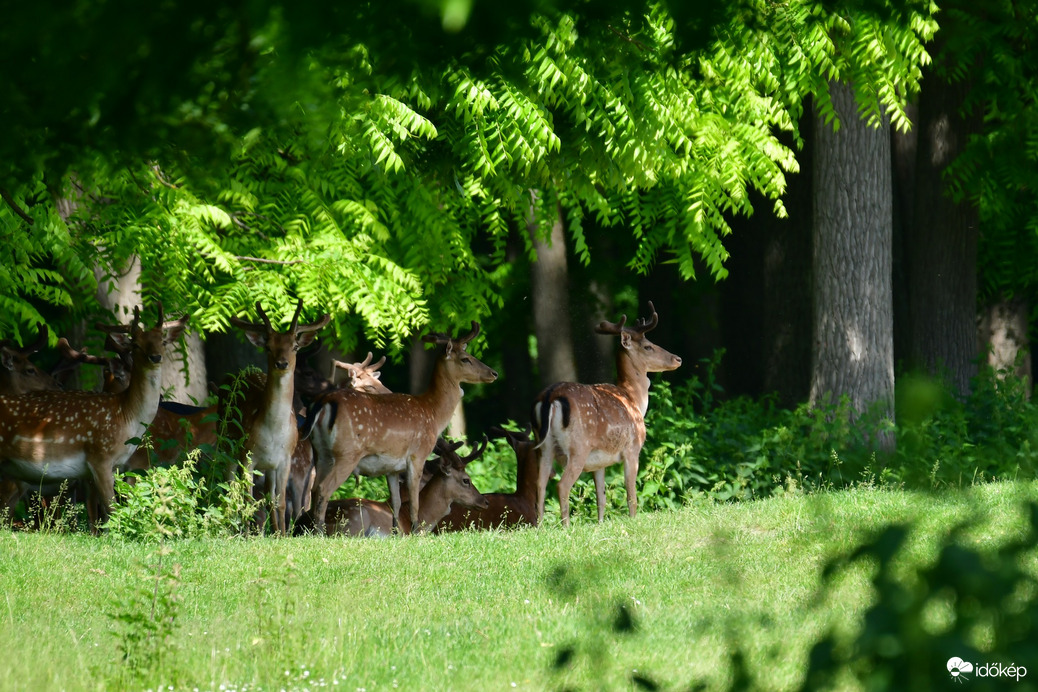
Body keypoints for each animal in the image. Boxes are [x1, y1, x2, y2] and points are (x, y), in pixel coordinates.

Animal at [0, 305, 188, 531]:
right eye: (135, 344)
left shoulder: (114, 467)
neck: (126, 417)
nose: (155, 357)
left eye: (163, 341)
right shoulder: (99, 456)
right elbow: (111, 511)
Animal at [222, 298, 328, 535]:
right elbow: (247, 499)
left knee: (270, 498)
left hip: (269, 467)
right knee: (230, 489)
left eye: (295, 347)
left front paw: (282, 535)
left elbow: (278, 502)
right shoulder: (247, 456)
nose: (282, 363)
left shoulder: (284, 459)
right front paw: (248, 535)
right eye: (268, 347)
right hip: (226, 446)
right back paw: (234, 529)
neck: (272, 432)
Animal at [305, 321, 496, 535]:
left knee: (313, 489)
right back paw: (319, 533)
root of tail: (322, 403)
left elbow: (395, 503)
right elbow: (414, 501)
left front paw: (397, 533)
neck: (432, 412)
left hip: (321, 452)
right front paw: (414, 531)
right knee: (324, 488)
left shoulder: (392, 467)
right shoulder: (417, 455)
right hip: (347, 453)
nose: (493, 373)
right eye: (465, 358)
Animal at [531, 300, 685, 527]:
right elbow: (631, 495)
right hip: (578, 447)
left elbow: (601, 498)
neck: (634, 401)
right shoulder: (632, 448)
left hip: (544, 447)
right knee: (562, 485)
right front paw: (633, 520)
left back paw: (540, 526)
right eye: (648, 346)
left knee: (540, 483)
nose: (678, 359)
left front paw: (600, 524)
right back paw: (566, 526)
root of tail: (551, 396)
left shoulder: (599, 462)